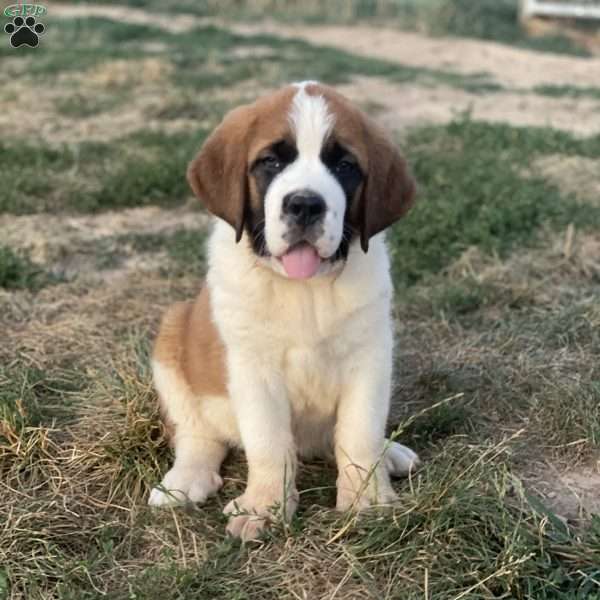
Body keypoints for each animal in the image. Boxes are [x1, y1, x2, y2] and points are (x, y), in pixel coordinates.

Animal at [148, 81, 420, 544]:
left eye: (344, 166)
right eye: (271, 162)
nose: (305, 205)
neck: (304, 291)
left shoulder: (370, 357)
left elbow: (360, 433)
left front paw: (367, 502)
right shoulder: (253, 370)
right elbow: (269, 443)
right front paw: (264, 508)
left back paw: (391, 453)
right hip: (172, 336)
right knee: (197, 433)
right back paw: (186, 479)